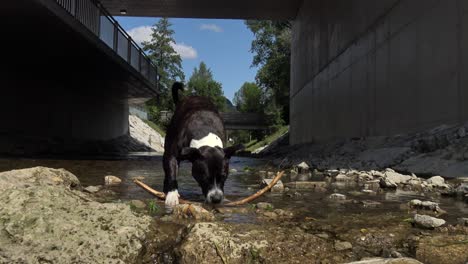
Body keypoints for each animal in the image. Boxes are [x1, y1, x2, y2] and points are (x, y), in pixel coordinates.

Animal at [163, 82, 241, 210]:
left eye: (224, 176)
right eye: (204, 178)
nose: (216, 199)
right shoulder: (172, 155)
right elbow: (172, 171)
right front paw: (172, 194)